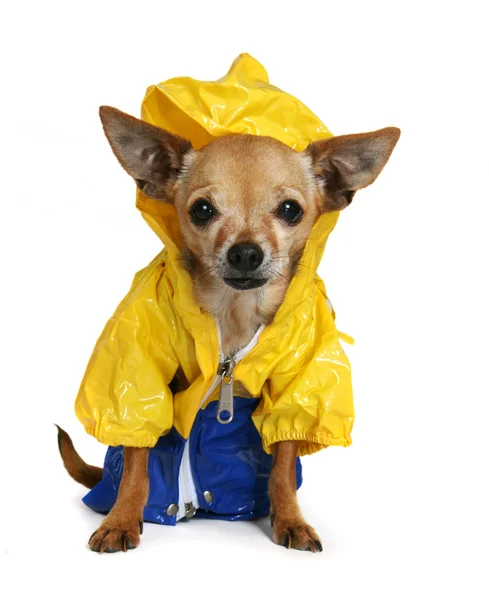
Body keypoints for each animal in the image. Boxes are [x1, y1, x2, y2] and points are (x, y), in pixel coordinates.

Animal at [58, 106, 400, 552]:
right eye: (202, 210)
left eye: (290, 210)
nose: (246, 252)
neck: (235, 313)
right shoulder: (139, 375)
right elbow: (136, 461)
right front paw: (122, 519)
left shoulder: (295, 390)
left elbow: (283, 464)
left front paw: (290, 519)